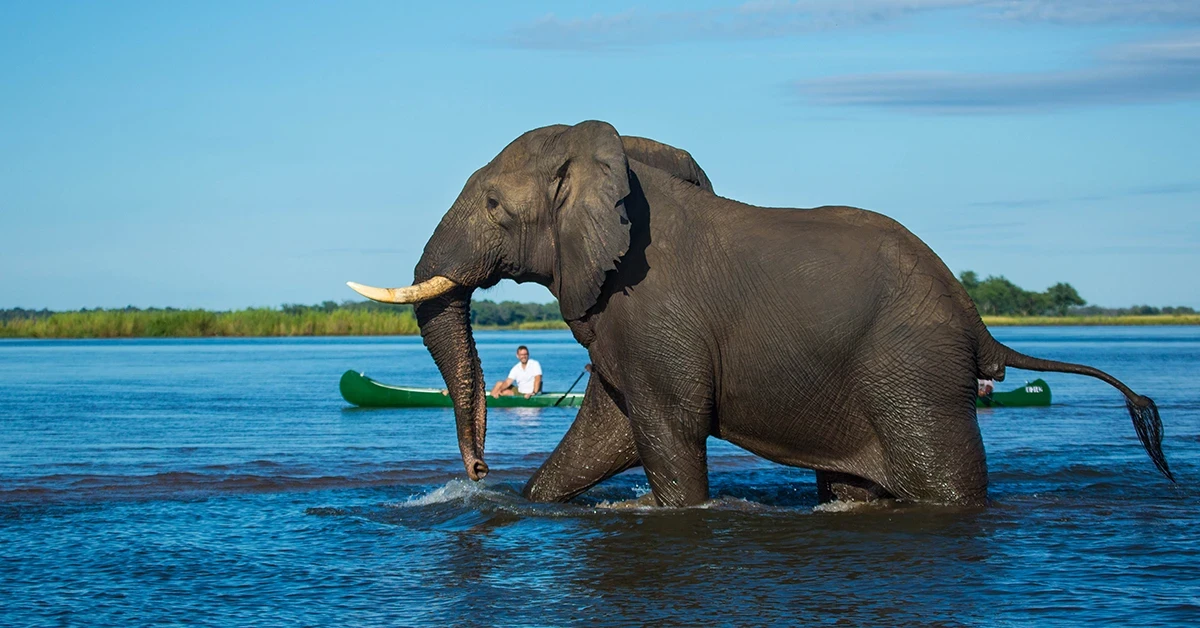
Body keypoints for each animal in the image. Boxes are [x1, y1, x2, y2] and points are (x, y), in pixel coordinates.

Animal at [347, 120, 1172, 507]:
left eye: (492, 204)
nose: (478, 471)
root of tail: (979, 326)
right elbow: (606, 432)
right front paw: (527, 501)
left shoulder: (657, 314)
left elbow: (667, 435)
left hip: (914, 370)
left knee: (943, 483)